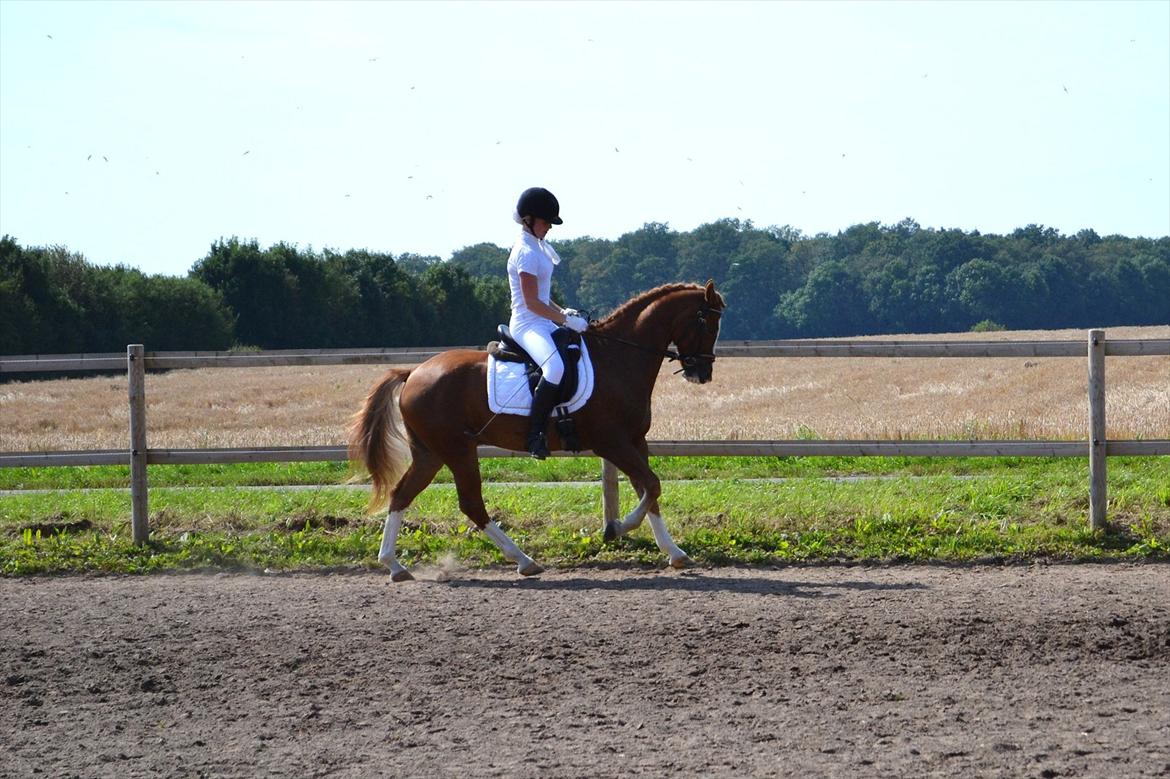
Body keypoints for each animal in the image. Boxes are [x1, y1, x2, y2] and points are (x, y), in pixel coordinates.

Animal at [348, 279, 720, 575]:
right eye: (706, 321)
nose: (702, 373)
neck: (618, 358)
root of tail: (413, 372)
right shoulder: (612, 443)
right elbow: (652, 485)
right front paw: (615, 528)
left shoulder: (635, 441)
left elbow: (649, 490)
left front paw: (674, 553)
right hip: (456, 449)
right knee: (470, 502)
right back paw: (523, 560)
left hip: (431, 453)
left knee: (403, 495)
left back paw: (395, 565)